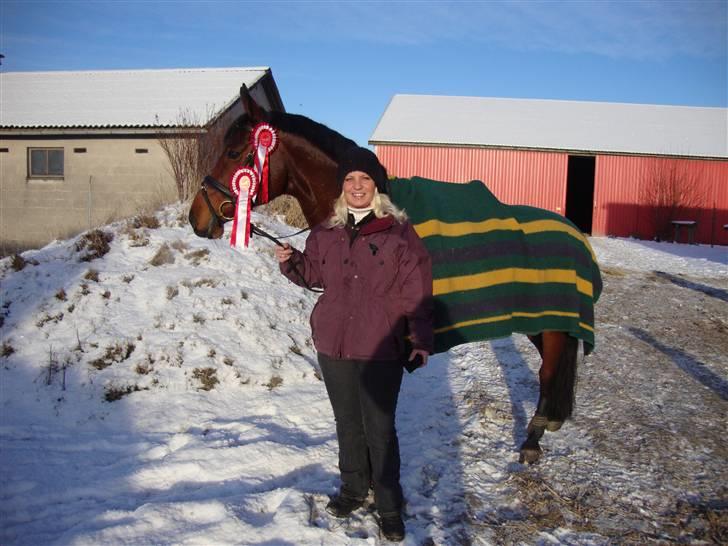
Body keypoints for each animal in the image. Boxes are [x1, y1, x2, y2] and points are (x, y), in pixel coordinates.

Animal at [191, 86, 584, 464]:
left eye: (233, 152)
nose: (198, 217)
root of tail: (574, 233)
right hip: (541, 322)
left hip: (551, 323)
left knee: (548, 371)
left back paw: (532, 442)